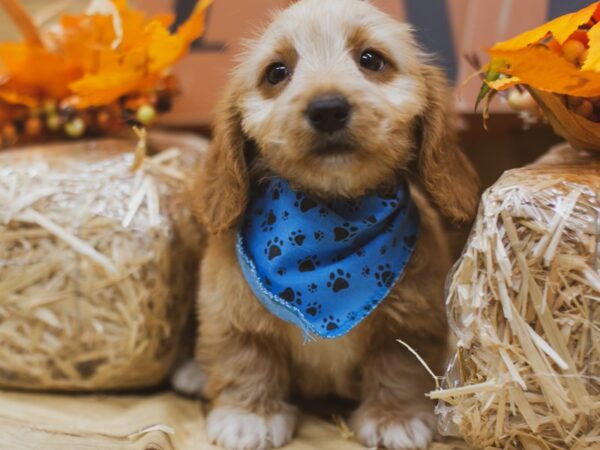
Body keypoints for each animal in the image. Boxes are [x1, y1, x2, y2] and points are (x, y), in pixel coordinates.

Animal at [192, 1, 478, 448]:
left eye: (371, 60)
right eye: (276, 72)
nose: (327, 108)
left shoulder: (411, 323)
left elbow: (399, 367)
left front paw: (394, 418)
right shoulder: (231, 312)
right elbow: (245, 360)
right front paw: (249, 416)